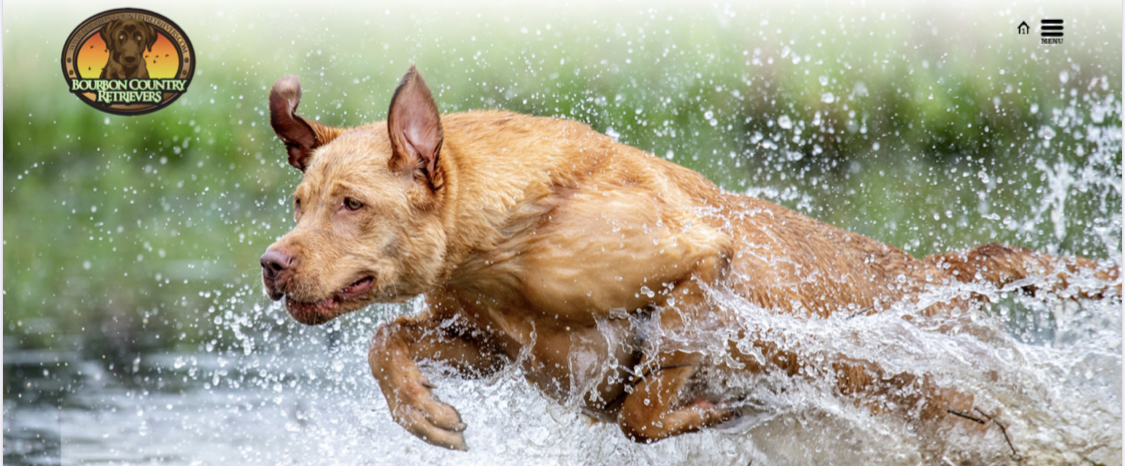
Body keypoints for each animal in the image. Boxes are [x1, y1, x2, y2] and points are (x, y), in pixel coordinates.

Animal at [261, 66, 1116, 452]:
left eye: (352, 204)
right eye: (299, 202)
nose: (272, 263)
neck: (510, 235)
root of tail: (935, 274)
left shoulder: (700, 264)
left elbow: (642, 405)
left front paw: (698, 410)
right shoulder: (499, 344)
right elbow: (387, 338)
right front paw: (422, 412)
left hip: (962, 416)